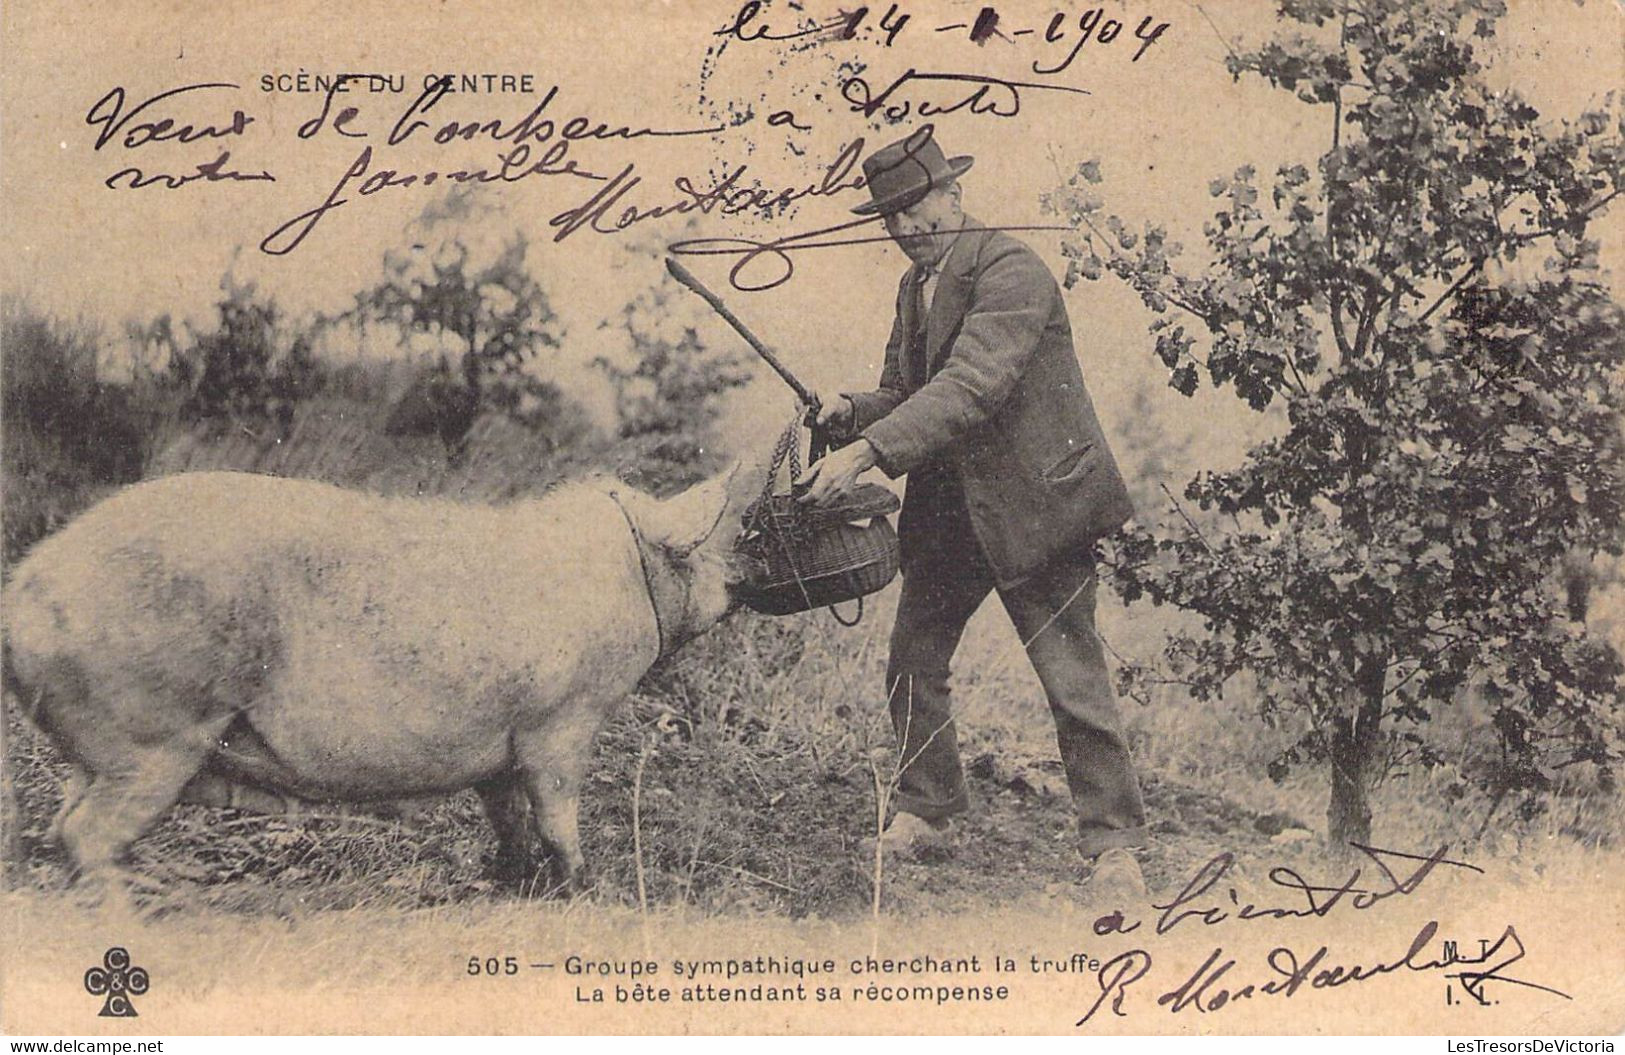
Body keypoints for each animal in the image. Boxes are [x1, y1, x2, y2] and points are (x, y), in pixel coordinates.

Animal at [0, 455, 767, 890]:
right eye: (697, 552)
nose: (739, 580)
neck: (625, 575)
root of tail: (23, 596)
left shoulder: (502, 741)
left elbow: (507, 811)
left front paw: (509, 881)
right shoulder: (562, 721)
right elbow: (556, 811)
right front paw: (586, 886)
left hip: (104, 747)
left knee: (61, 827)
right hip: (156, 734)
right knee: (84, 834)